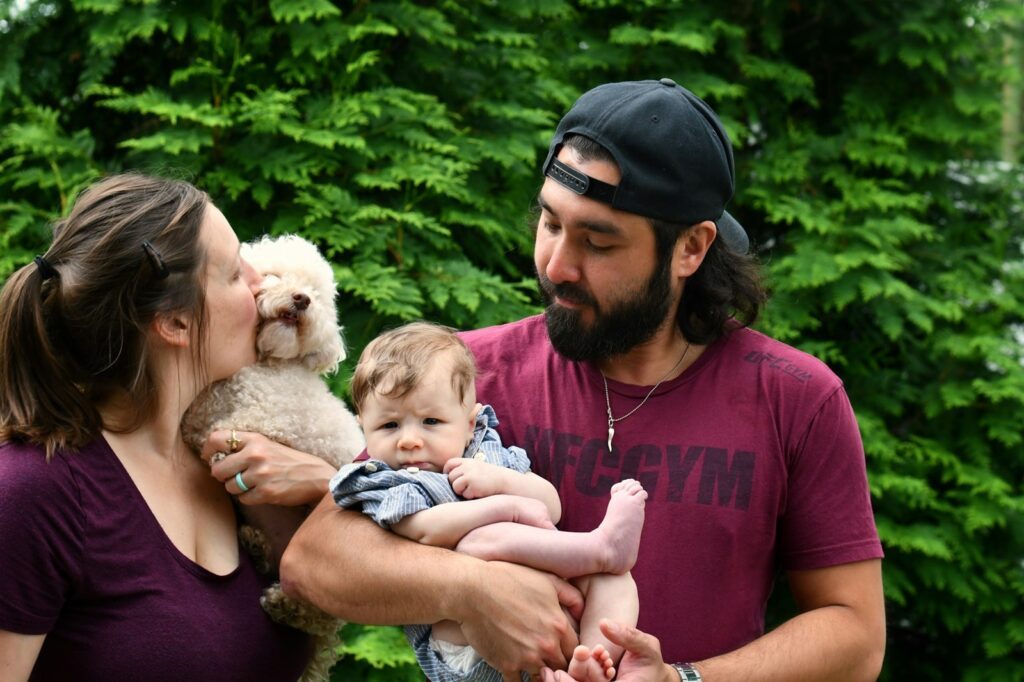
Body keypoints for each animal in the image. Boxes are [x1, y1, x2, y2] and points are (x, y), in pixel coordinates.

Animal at [182, 233, 362, 679]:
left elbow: (221, 429)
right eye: (275, 276)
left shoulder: (275, 417)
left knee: (319, 616)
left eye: (315, 291)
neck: (264, 363)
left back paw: (286, 606)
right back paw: (256, 544)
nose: (302, 299)